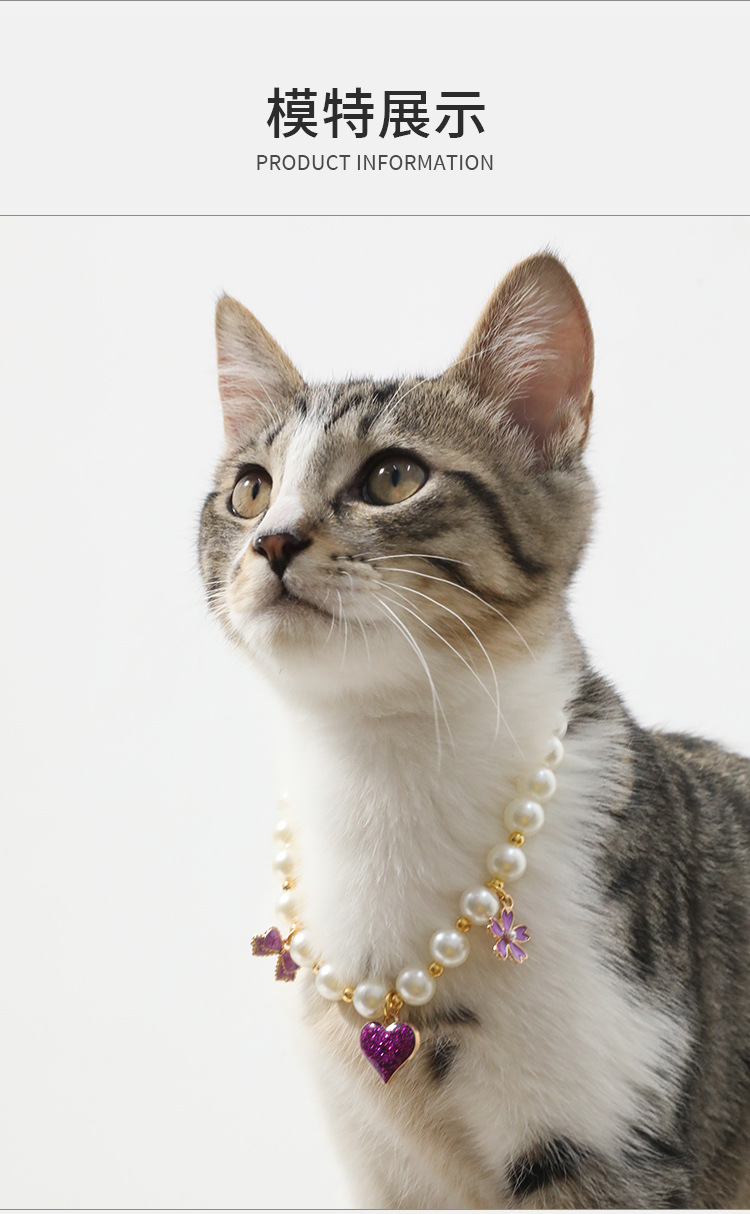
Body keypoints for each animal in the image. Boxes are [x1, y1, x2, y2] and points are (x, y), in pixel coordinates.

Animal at [199, 253, 750, 1209]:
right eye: (250, 489)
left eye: (392, 477)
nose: (272, 541)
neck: (381, 770)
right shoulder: (381, 1162)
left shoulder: (608, 1140)